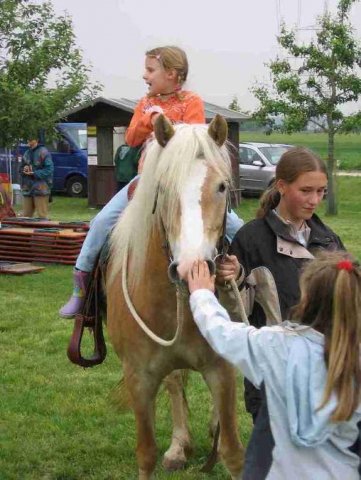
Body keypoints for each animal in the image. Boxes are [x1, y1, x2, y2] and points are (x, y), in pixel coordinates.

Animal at [105, 115, 243, 480]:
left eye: (221, 187)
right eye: (163, 188)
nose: (191, 268)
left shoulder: (221, 370)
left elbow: (232, 452)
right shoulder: (139, 378)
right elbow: (146, 453)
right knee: (176, 381)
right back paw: (179, 447)